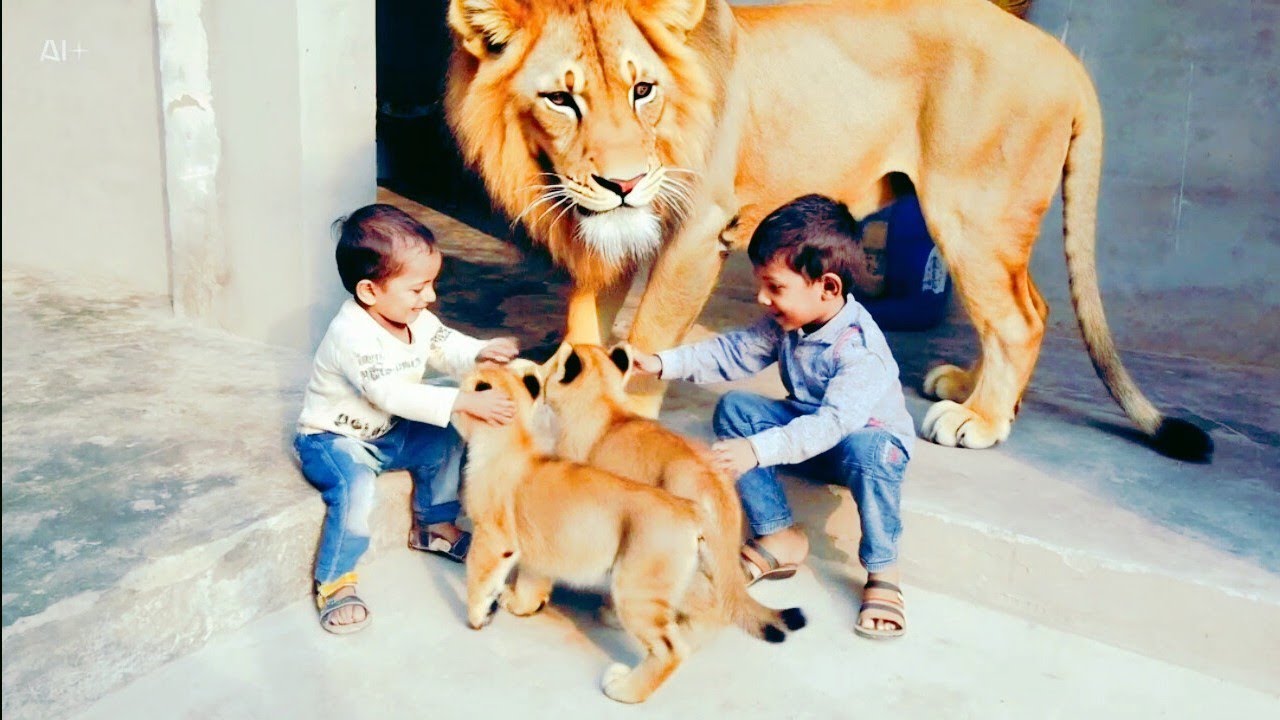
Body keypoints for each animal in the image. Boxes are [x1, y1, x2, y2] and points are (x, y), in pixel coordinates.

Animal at [444, 0, 1212, 462]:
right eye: (559, 98)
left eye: (643, 90)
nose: (624, 182)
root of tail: (1065, 59)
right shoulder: (605, 224)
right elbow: (587, 310)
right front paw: (564, 374)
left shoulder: (699, 226)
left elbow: (648, 336)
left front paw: (616, 413)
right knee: (1035, 309)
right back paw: (972, 389)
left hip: (971, 214)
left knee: (1020, 319)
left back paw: (980, 420)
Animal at [454, 361, 739, 703]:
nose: (455, 396)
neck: (514, 439)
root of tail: (690, 509)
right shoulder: (539, 543)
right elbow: (531, 581)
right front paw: (520, 604)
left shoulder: (491, 537)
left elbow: (478, 578)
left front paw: (476, 617)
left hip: (637, 588)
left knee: (671, 649)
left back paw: (623, 688)